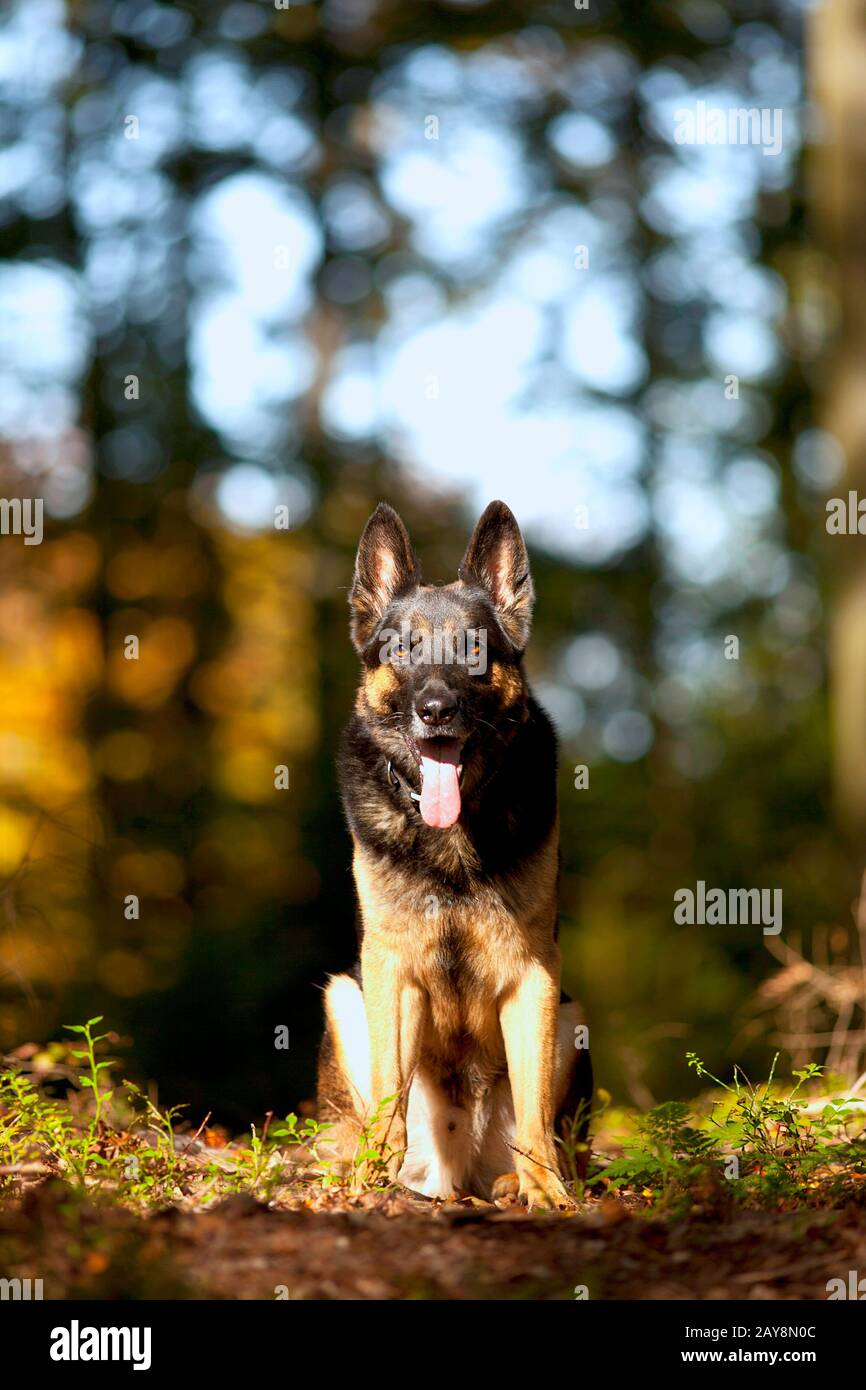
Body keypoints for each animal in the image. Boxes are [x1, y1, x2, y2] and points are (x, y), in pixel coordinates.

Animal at [318, 500, 594, 1206]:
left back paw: (514, 1181)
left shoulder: (534, 976)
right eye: (404, 648)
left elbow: (533, 1108)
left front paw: (546, 1190)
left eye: (474, 650)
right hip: (344, 996)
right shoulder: (388, 970)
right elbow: (390, 1092)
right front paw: (369, 1181)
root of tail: (456, 1172)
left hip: (571, 1018)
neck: (451, 835)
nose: (436, 709)